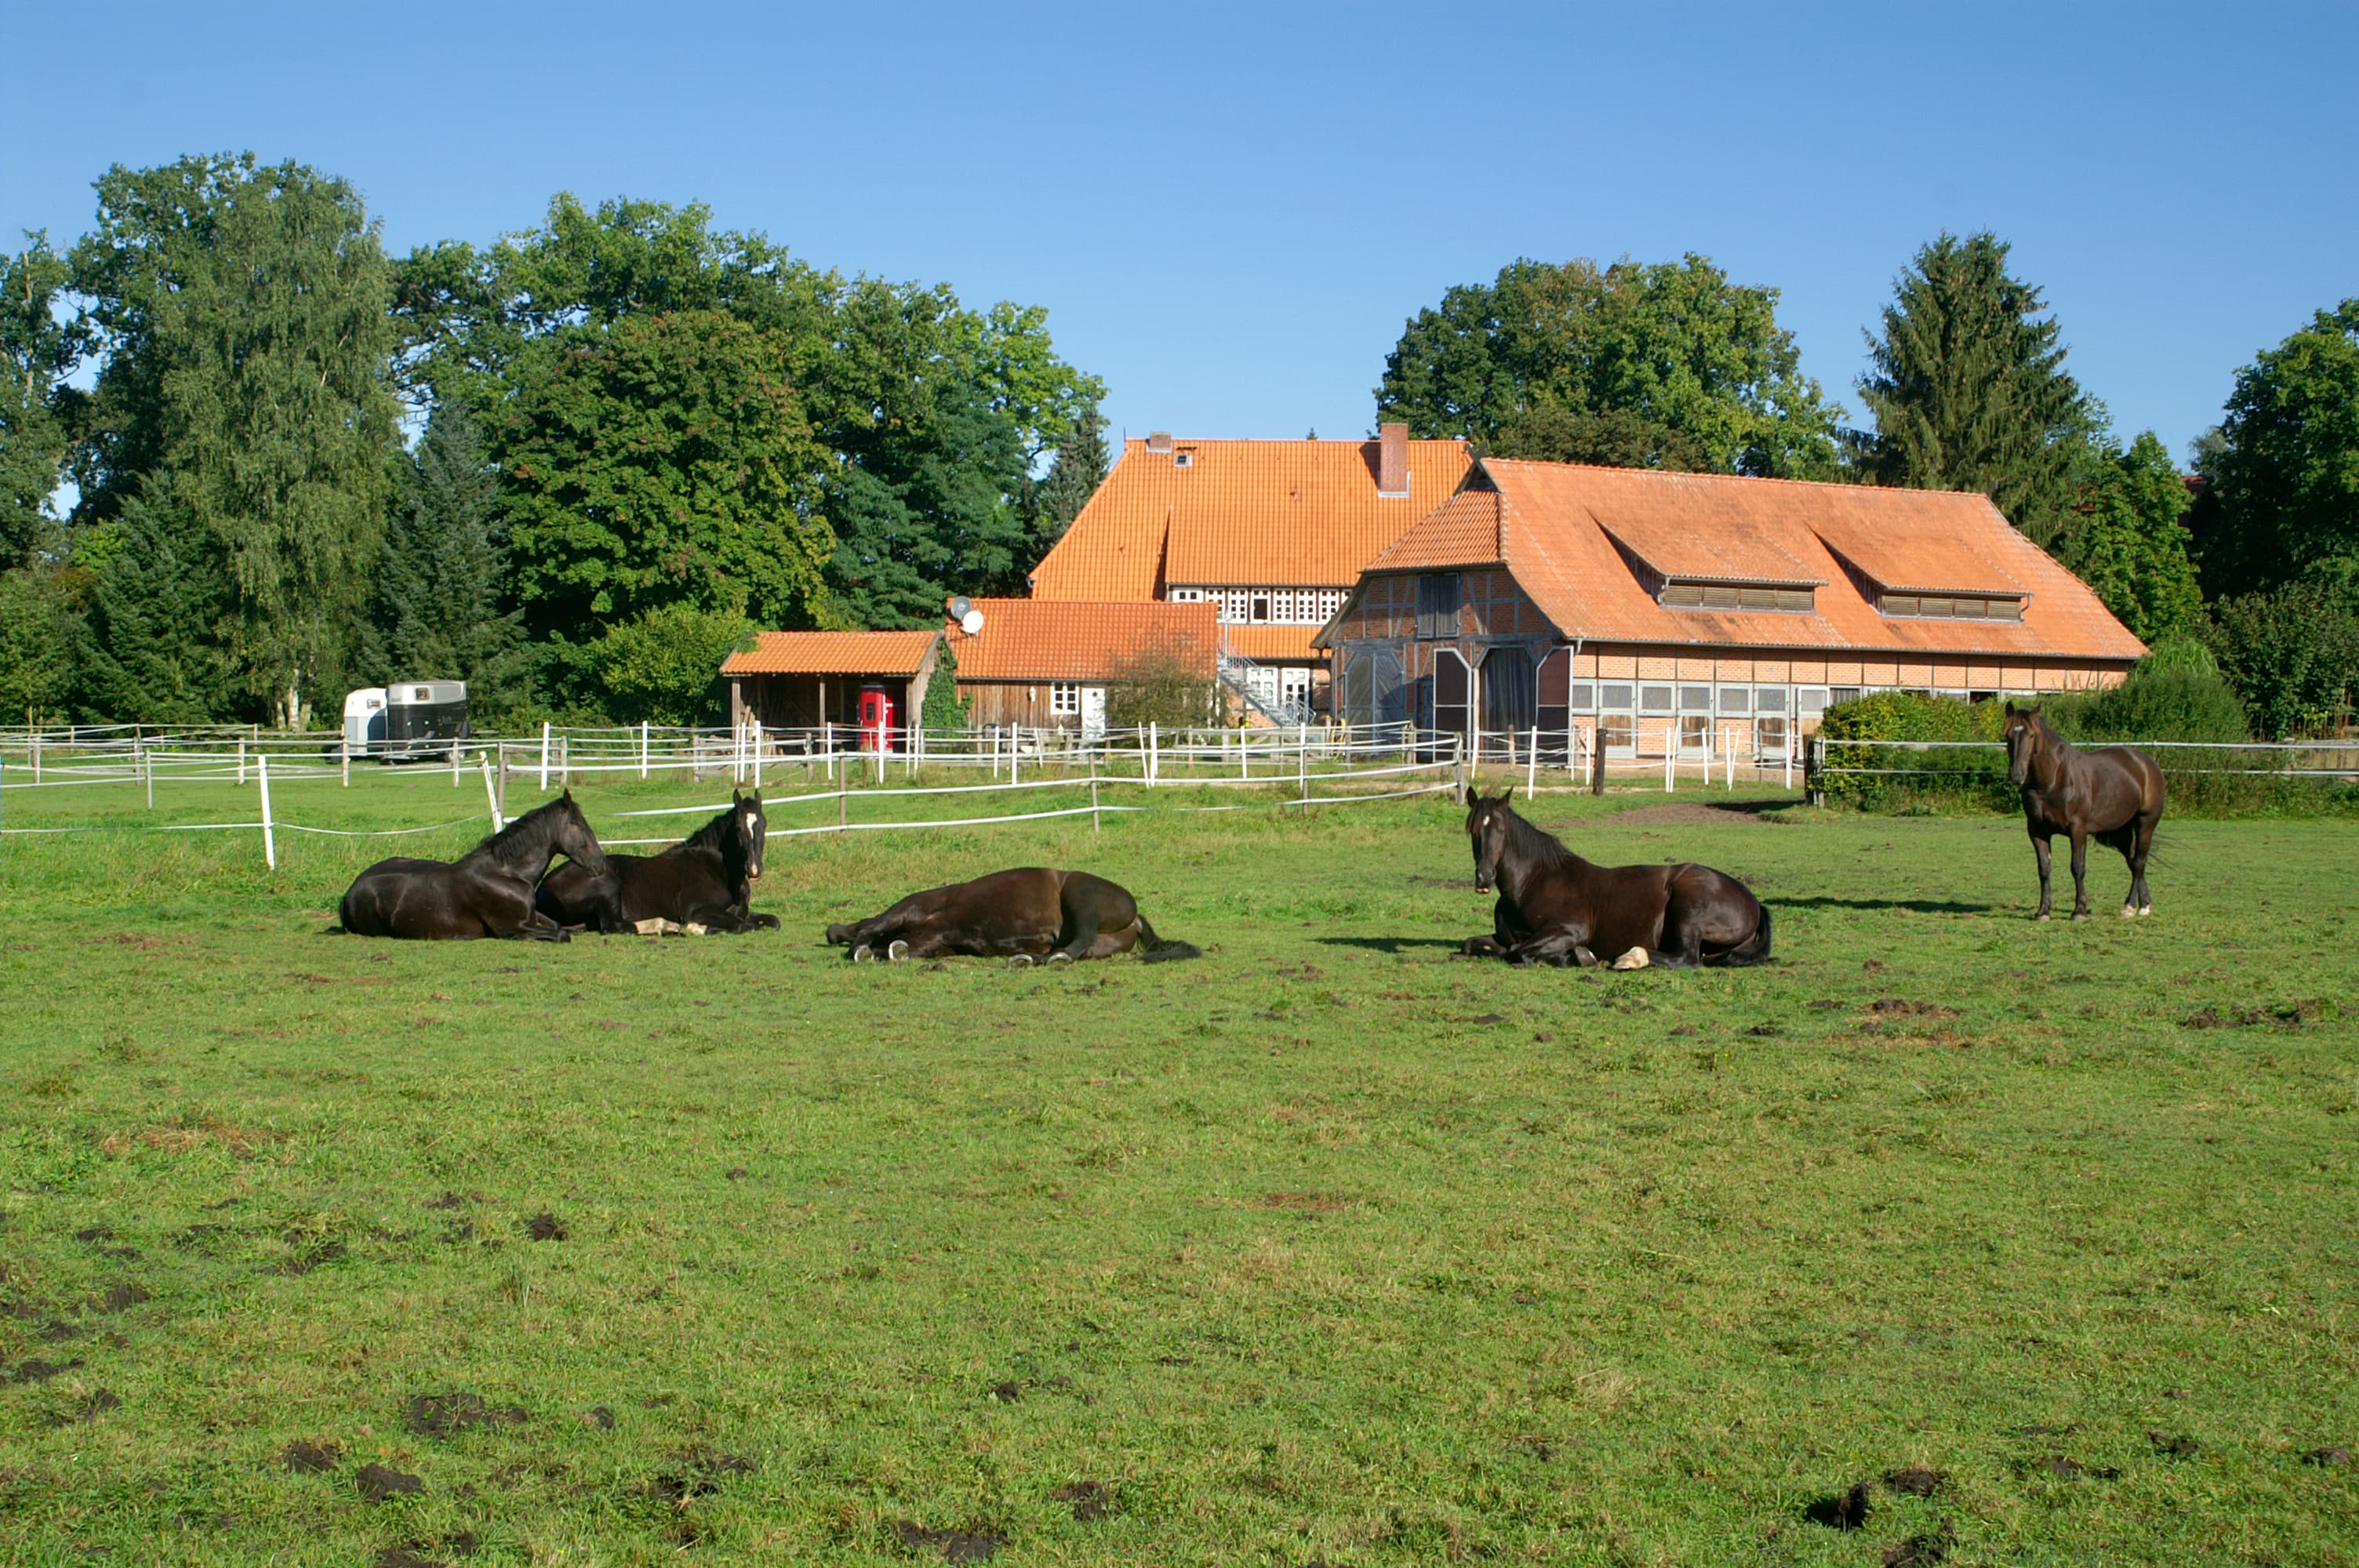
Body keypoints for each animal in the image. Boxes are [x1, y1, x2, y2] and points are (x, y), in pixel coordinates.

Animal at [535, 782, 773, 928]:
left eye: (763, 825)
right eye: (738, 829)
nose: (754, 869)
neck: (717, 868)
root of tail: (541, 888)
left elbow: (772, 921)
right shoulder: (697, 910)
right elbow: (742, 925)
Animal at [825, 867, 1198, 967]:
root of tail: (1136, 918)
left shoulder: (915, 907)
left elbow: (875, 925)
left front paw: (857, 947)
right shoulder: (933, 939)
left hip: (1082, 897)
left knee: (1078, 941)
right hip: (1101, 943)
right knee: (1076, 948)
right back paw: (1028, 959)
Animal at [1452, 797, 1774, 967]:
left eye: (1501, 830)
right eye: (1472, 830)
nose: (1484, 878)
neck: (1531, 883)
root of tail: (1754, 902)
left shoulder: (1569, 929)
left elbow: (1520, 952)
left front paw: (1576, 956)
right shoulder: (1506, 937)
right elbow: (1474, 945)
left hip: (1689, 911)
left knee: (1684, 959)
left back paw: (1629, 957)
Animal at [2000, 698, 2161, 919]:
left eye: (2032, 735)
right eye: (2008, 736)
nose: (2017, 775)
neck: (2053, 779)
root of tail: (2147, 764)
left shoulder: (2078, 829)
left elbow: (2078, 867)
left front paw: (2079, 910)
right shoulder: (2037, 831)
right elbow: (2044, 869)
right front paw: (2043, 911)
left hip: (2145, 823)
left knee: (2139, 862)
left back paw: (2131, 906)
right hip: (2122, 831)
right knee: (2133, 861)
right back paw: (2143, 903)